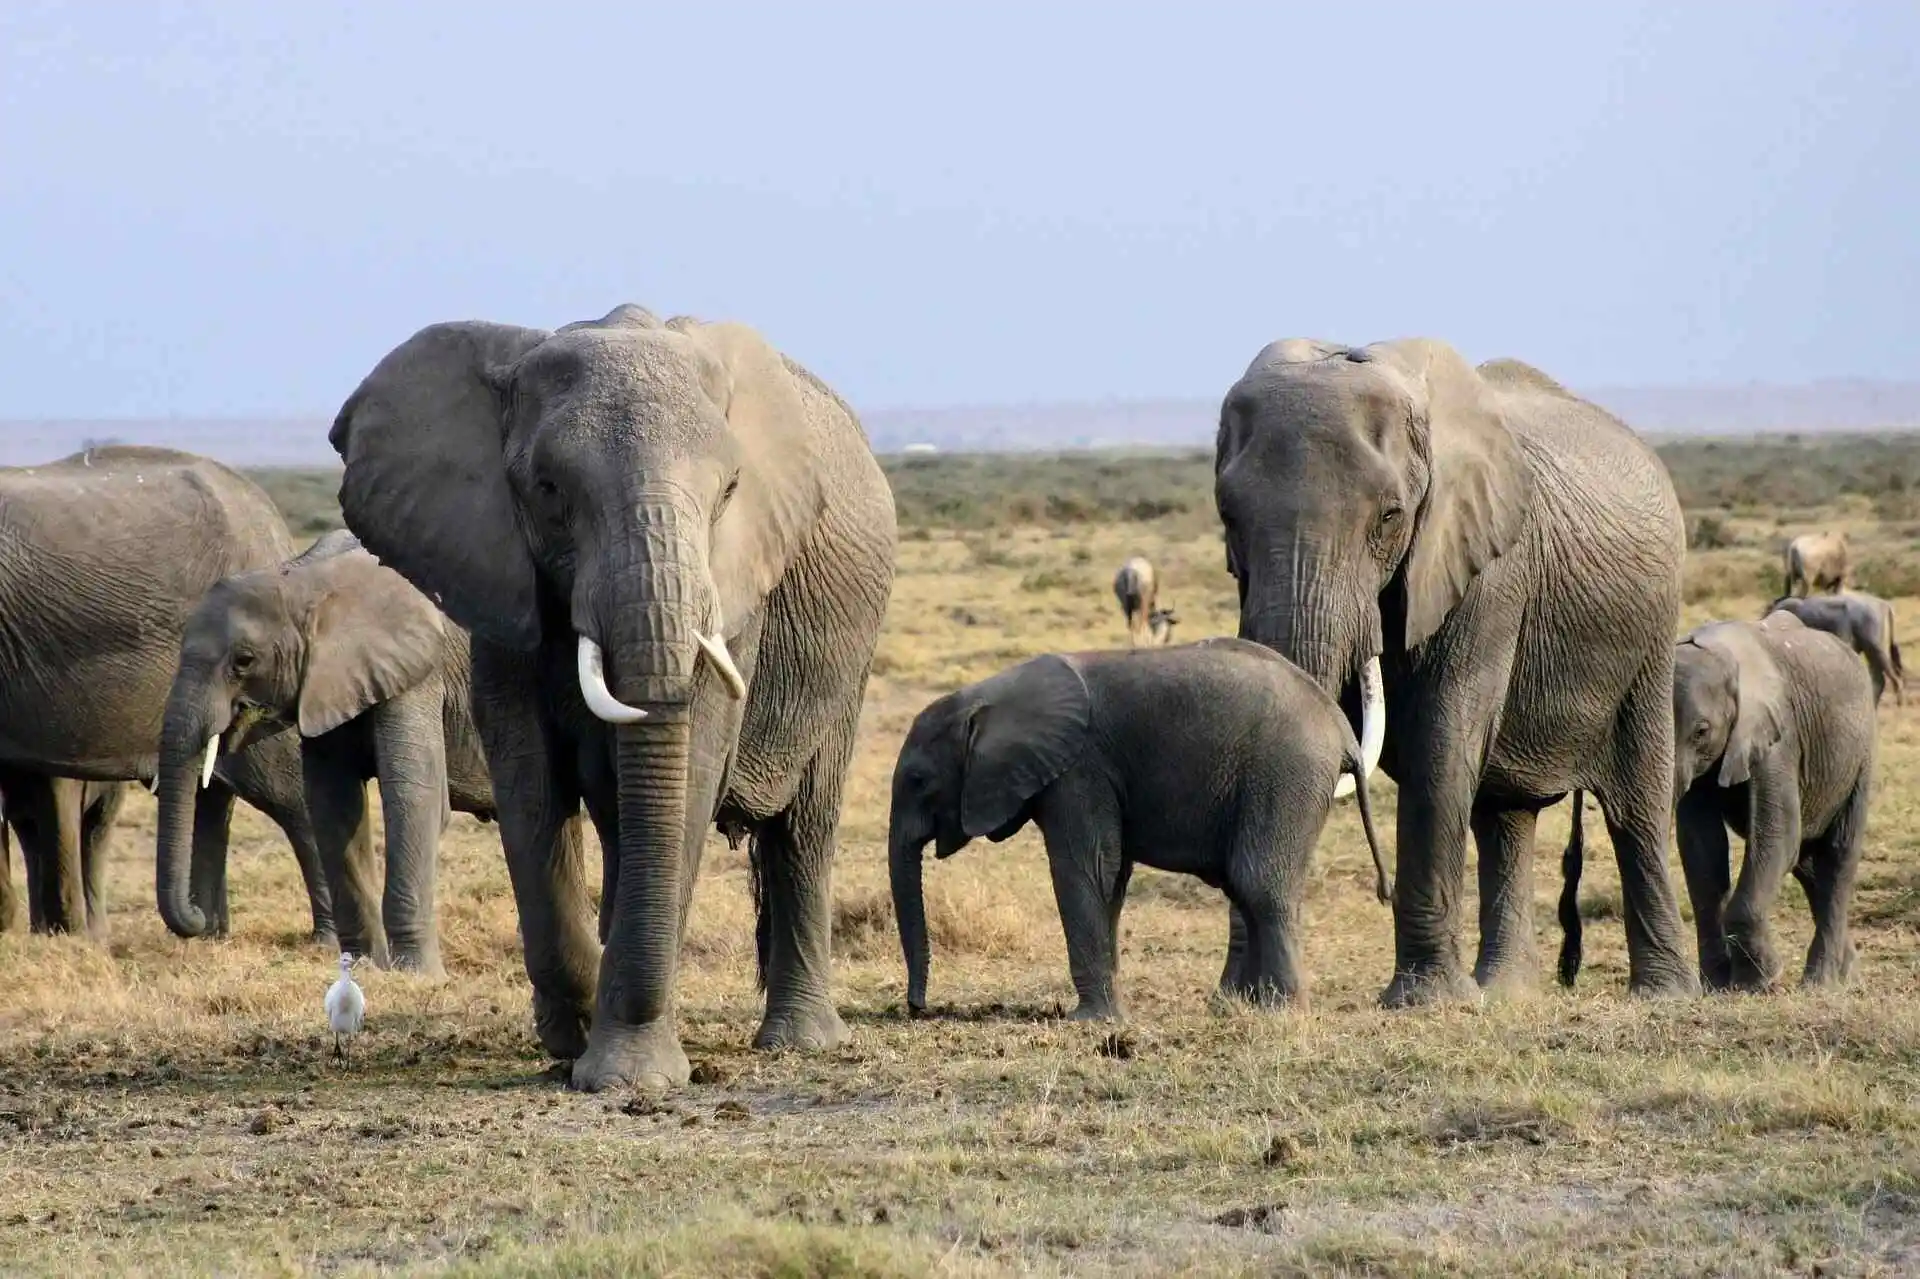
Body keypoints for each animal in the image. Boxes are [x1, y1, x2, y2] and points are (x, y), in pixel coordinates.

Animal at [161, 530, 494, 974]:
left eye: (244, 661)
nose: (197, 918)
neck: (304, 579)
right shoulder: (326, 684)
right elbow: (335, 804)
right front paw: (361, 968)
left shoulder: (418, 671)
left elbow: (413, 798)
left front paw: (417, 977)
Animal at [328, 304, 897, 1091]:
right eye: (548, 489)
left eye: (729, 491)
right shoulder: (496, 574)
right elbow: (529, 778)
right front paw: (571, 1036)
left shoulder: (736, 585)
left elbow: (692, 768)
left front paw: (628, 1074)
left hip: (852, 655)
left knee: (805, 827)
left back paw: (798, 1042)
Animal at [889, 638, 1389, 1019]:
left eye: (918, 780)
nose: (917, 1009)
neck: (991, 696)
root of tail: (1342, 731)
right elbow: (1110, 880)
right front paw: (1109, 1014)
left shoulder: (1079, 771)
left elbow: (1086, 871)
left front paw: (1090, 1021)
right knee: (1248, 891)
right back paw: (1251, 1008)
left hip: (1285, 776)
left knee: (1259, 885)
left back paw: (1281, 1012)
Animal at [1214, 340, 1696, 1006]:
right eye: (1228, 517)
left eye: (1390, 517)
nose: (1246, 994)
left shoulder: (1487, 568)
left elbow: (1441, 748)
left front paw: (1424, 1003)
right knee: (1505, 815)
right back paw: (1507, 994)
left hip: (1650, 638)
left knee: (1637, 810)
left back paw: (1664, 996)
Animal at [1560, 614, 1874, 990]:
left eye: (1701, 732)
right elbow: (1703, 849)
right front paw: (1719, 985)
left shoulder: (1778, 738)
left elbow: (1777, 834)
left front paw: (1760, 981)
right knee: (1808, 864)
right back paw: (1848, 975)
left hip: (1860, 759)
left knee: (1838, 857)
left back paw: (1822, 983)